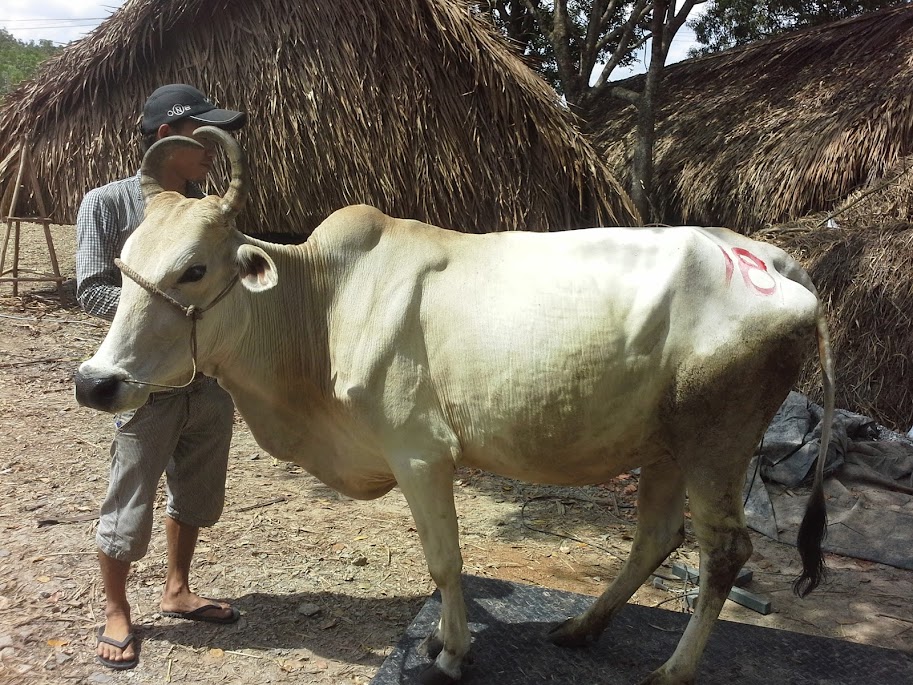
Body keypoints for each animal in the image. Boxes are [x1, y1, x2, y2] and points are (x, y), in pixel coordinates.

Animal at [78, 128, 832, 684]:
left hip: (717, 441)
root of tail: (767, 258)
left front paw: (450, 652)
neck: (322, 304)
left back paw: (672, 670)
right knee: (655, 536)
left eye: (194, 269)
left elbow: (444, 560)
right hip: (666, 445)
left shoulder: (419, 451)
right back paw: (580, 628)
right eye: (123, 260)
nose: (96, 382)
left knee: (723, 549)